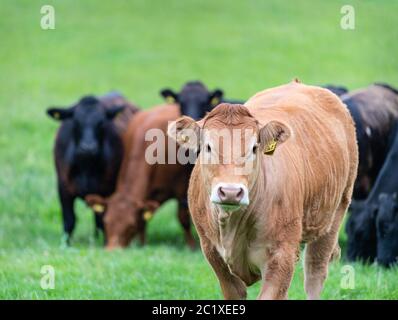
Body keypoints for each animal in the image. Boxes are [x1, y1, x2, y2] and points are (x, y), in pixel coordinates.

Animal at [46, 92, 138, 245]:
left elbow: (103, 219)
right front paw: (66, 244)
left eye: (101, 122)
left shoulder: (107, 190)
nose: (88, 148)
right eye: (76, 122)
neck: (86, 167)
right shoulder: (63, 187)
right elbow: (69, 220)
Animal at [86, 104, 195, 249]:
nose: (111, 250)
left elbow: (183, 218)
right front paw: (142, 245)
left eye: (131, 226)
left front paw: (191, 246)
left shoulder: (182, 189)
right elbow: (142, 223)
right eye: (106, 222)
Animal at [169, 80, 360, 300]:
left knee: (315, 273)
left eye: (254, 148)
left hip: (334, 215)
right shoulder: (212, 253)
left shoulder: (282, 256)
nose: (231, 192)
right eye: (208, 147)